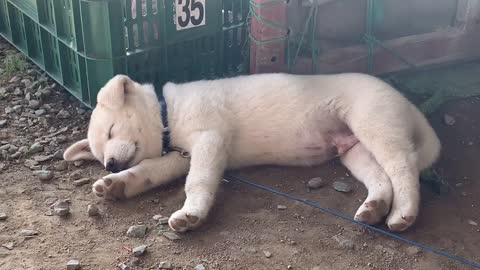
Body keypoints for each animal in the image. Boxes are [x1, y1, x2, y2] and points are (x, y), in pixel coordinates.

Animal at [64, 73, 442, 233]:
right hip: (354, 150)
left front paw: (191, 214)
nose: (110, 164)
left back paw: (404, 212)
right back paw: (374, 207)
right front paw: (117, 184)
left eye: (111, 131)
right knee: (381, 177)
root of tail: (405, 100)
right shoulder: (179, 157)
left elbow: (197, 182)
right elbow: (149, 171)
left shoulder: (211, 139)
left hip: (373, 124)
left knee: (403, 166)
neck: (168, 113)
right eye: (100, 154)